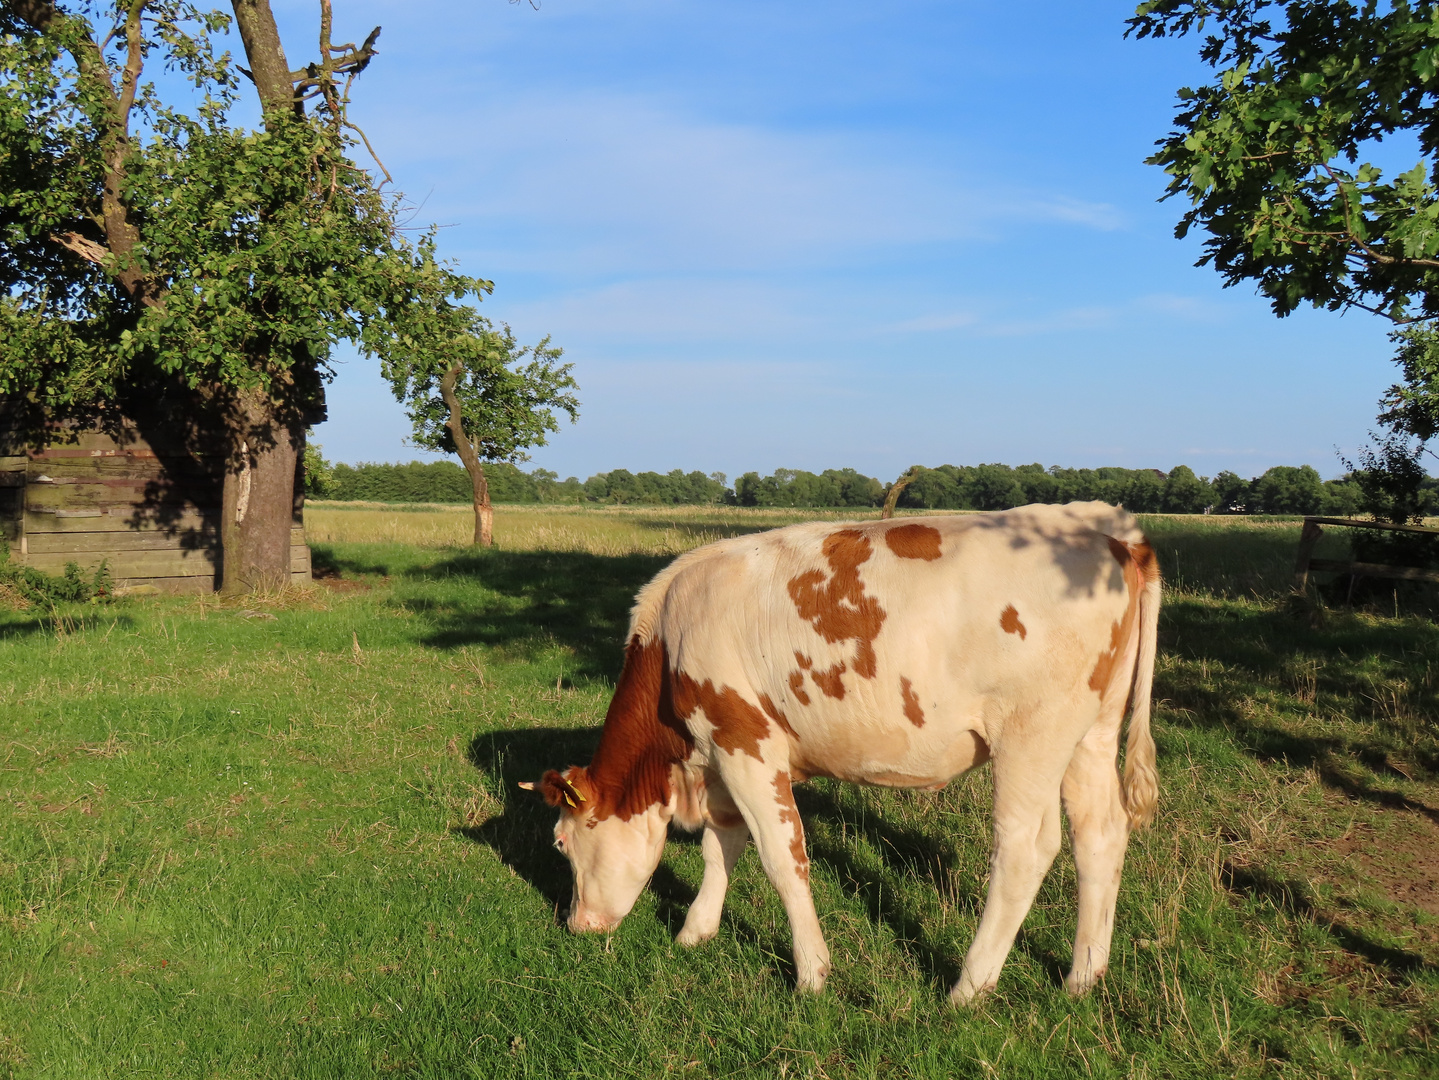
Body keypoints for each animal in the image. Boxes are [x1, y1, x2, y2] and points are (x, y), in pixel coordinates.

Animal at [523, 506, 1162, 1006]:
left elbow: (781, 856)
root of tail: (1109, 529)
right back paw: (1082, 977)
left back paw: (968, 987)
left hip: (1032, 735)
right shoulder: (720, 748)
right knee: (1100, 834)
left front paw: (811, 974)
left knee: (1025, 849)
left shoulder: (745, 740)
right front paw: (695, 931)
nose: (577, 926)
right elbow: (720, 840)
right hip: (1091, 733)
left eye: (560, 843)